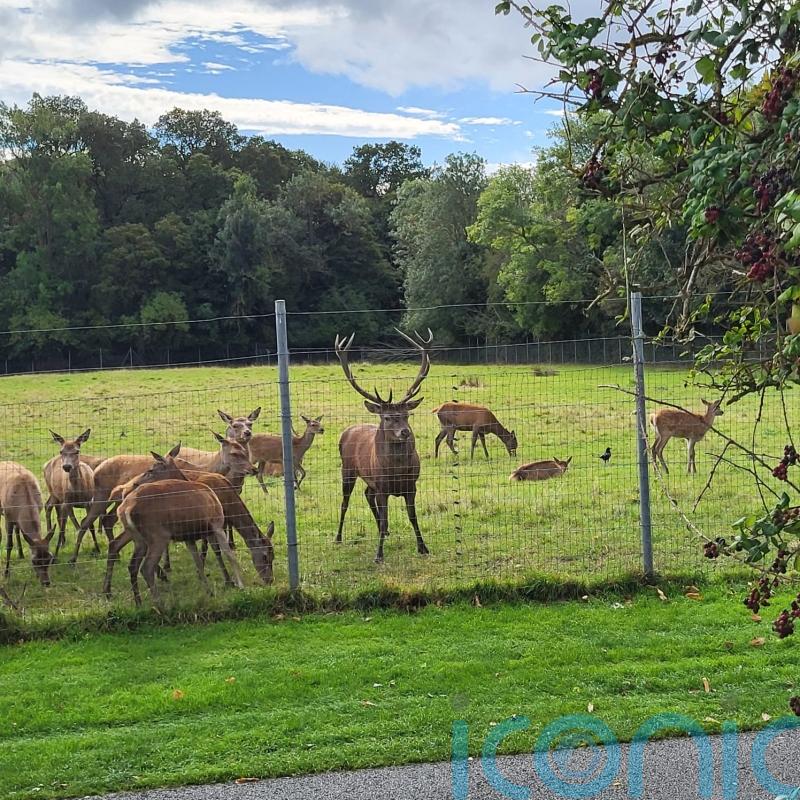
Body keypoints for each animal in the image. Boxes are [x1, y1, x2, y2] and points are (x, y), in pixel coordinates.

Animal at [43, 429, 96, 557]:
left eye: (77, 451)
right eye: (61, 451)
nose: (67, 466)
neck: (78, 491)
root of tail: (45, 464)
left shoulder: (89, 502)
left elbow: (90, 525)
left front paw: (96, 549)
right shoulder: (67, 502)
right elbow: (75, 526)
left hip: (57, 496)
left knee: (53, 508)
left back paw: (62, 540)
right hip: (53, 491)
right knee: (49, 507)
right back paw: (52, 536)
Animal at [104, 451, 273, 601]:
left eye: (273, 556)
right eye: (265, 557)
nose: (269, 580)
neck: (228, 501)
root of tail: (122, 492)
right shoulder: (215, 524)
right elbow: (218, 551)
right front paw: (228, 581)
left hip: (136, 531)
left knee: (116, 544)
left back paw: (110, 590)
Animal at [334, 329, 433, 563]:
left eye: (407, 415)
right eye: (387, 417)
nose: (405, 432)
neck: (396, 471)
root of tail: (347, 430)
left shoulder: (411, 486)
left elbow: (413, 517)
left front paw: (423, 547)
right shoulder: (382, 487)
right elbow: (387, 516)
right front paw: (378, 555)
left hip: (369, 479)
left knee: (366, 494)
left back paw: (384, 530)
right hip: (347, 470)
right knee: (344, 503)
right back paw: (338, 537)